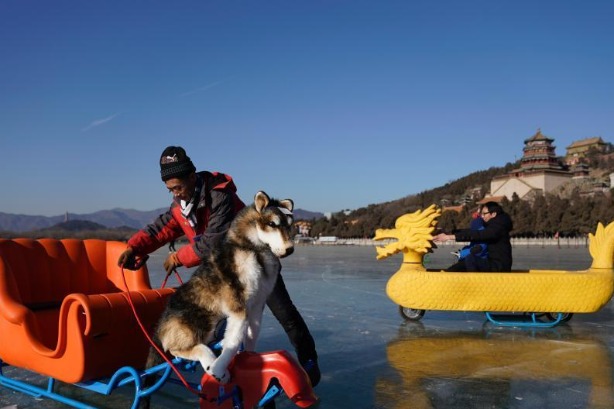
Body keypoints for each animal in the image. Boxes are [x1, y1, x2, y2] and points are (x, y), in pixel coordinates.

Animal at [147, 190, 296, 384]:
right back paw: (208, 359)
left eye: (290, 225)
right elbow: (233, 340)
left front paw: (249, 357)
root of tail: (159, 328)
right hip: (199, 322)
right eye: (272, 224)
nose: (290, 249)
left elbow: (252, 335)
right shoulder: (238, 306)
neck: (254, 251)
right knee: (174, 349)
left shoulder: (257, 304)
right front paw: (219, 368)